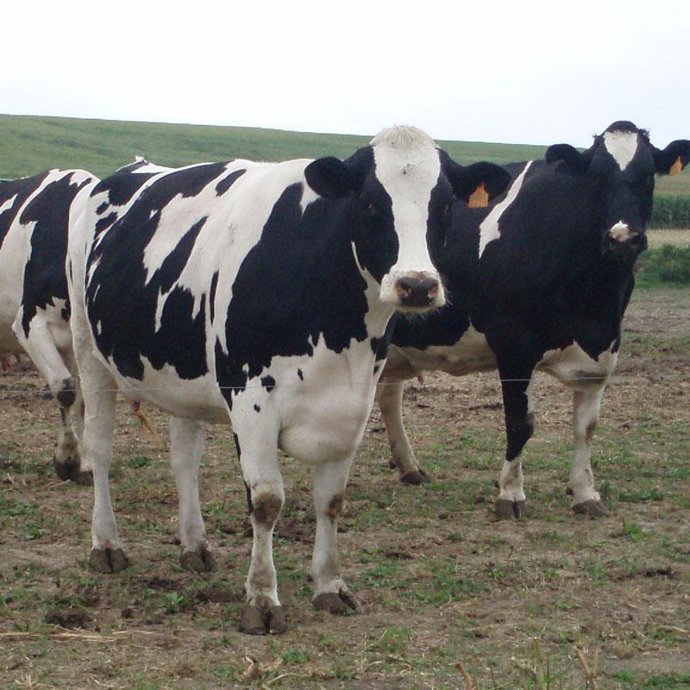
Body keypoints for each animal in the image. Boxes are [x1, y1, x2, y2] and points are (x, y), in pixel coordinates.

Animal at [66, 126, 511, 634]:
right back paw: (106, 544)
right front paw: (261, 598)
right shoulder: (251, 401)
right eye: (370, 203)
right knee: (101, 448)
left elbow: (332, 500)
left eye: (445, 205)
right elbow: (266, 501)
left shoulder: (352, 406)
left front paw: (330, 585)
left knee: (184, 460)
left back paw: (195, 546)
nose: (416, 285)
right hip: (89, 352)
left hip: (184, 375)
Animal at [377, 121, 690, 518]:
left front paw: (586, 493)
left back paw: (410, 467)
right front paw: (510, 494)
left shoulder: (602, 350)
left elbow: (586, 427)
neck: (594, 298)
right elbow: (519, 422)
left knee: (388, 395)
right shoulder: (514, 346)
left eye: (648, 176)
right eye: (597, 177)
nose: (622, 238)